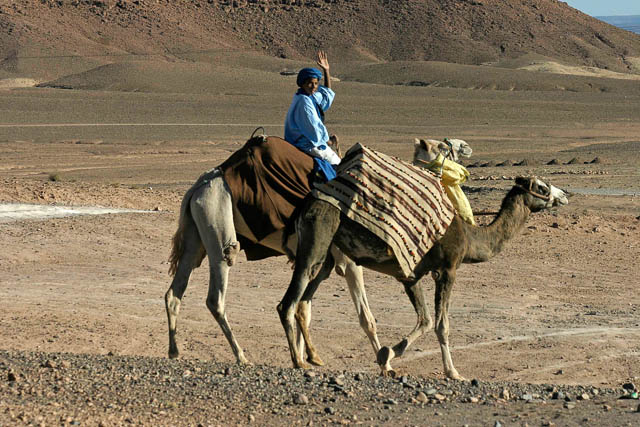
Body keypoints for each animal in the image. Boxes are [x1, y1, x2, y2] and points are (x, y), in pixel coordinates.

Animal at [164, 136, 476, 368]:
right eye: (444, 147)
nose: (467, 147)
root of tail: (198, 187)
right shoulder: (349, 263)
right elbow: (366, 318)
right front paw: (385, 362)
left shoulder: (320, 261)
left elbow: (306, 309)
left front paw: (306, 356)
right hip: (219, 233)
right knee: (215, 297)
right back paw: (241, 355)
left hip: (195, 237)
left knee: (174, 291)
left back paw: (174, 351)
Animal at [278, 177, 568, 382]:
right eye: (541, 186)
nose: (564, 195)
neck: (470, 237)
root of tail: (306, 204)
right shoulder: (447, 270)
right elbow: (442, 324)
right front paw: (453, 372)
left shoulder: (410, 274)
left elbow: (426, 320)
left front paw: (386, 357)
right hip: (317, 240)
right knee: (288, 302)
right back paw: (298, 361)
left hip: (327, 255)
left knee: (304, 299)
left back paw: (313, 358)